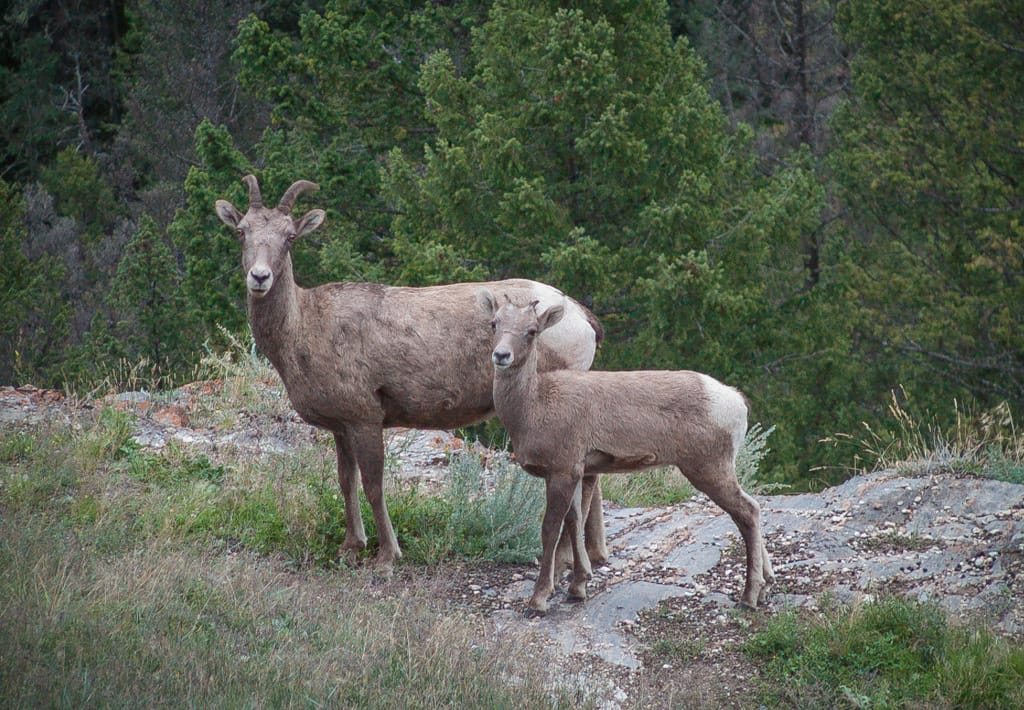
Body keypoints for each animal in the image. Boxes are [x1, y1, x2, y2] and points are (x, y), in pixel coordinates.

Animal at [214, 175, 608, 567]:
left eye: (290, 236)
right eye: (241, 231)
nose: (259, 277)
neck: (304, 331)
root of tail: (580, 316)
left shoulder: (365, 416)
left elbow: (373, 484)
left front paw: (388, 555)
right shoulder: (341, 425)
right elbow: (345, 480)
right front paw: (351, 545)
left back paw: (569, 559)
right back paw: (594, 552)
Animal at [479, 290, 774, 613]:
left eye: (532, 331)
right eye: (494, 323)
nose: (501, 356)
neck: (532, 407)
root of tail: (736, 402)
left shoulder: (562, 471)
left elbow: (551, 529)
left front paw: (539, 599)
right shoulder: (576, 472)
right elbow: (575, 522)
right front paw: (578, 587)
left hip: (709, 468)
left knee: (747, 512)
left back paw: (749, 597)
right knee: (753, 508)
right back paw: (765, 586)